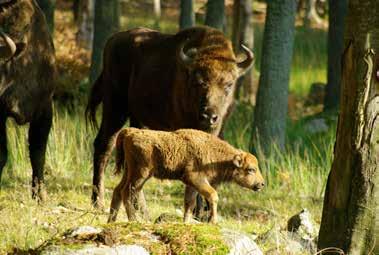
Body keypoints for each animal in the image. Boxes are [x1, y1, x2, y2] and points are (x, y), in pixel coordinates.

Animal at [86, 26, 255, 209]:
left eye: (229, 84)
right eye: (198, 82)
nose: (209, 116)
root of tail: (112, 40)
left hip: (137, 118)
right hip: (115, 109)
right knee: (104, 146)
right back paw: (98, 202)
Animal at [108, 127, 266, 223]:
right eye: (251, 169)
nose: (262, 184)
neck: (217, 156)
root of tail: (130, 132)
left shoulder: (191, 185)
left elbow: (189, 203)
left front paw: (186, 222)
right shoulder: (195, 179)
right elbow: (213, 195)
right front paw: (212, 221)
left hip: (129, 172)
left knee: (118, 190)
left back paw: (111, 221)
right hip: (140, 174)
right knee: (127, 192)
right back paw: (133, 220)